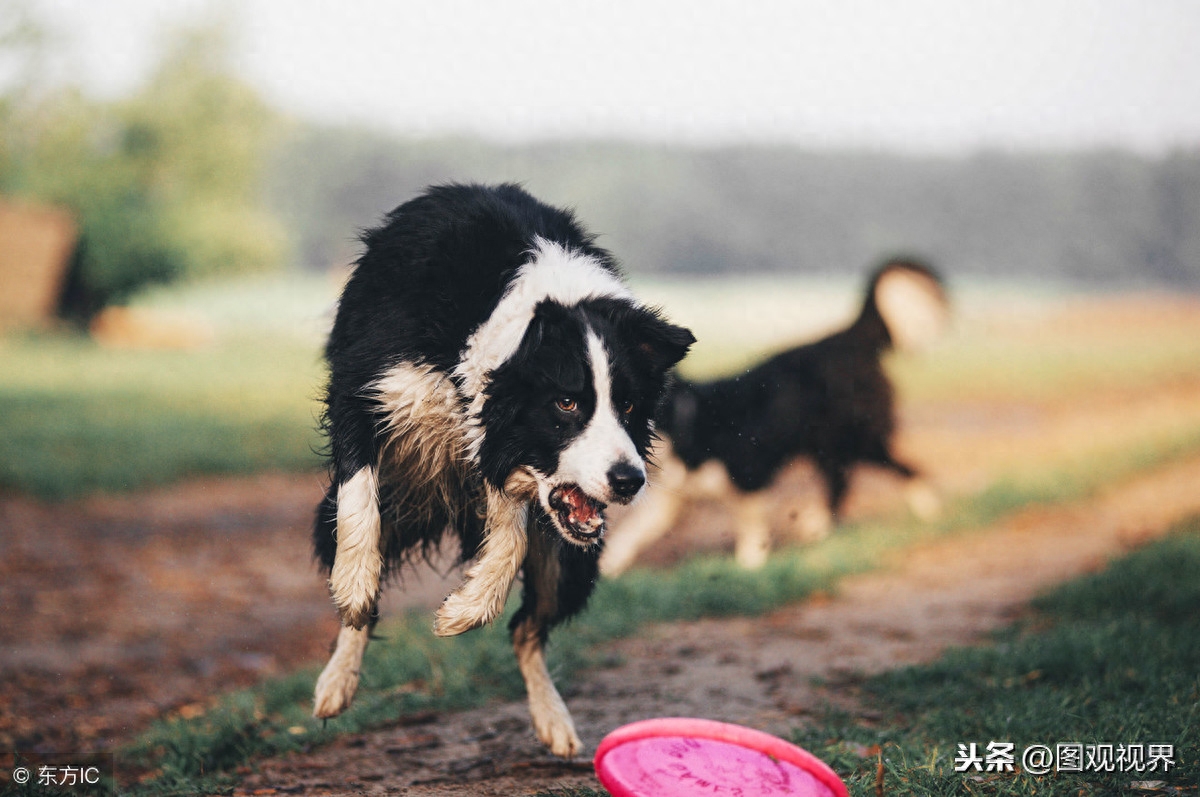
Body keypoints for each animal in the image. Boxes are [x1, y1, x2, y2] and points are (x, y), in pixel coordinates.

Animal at [309, 183, 696, 758]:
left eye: (628, 406)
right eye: (566, 403)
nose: (629, 482)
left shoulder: (501, 453)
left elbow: (509, 537)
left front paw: (462, 611)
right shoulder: (371, 384)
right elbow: (360, 498)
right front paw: (354, 583)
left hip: (569, 560)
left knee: (526, 628)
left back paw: (555, 722)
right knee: (367, 579)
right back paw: (337, 680)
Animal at [600, 258, 945, 576]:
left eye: (626, 403)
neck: (689, 421)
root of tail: (850, 337)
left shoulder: (749, 475)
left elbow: (752, 528)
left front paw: (750, 565)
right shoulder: (672, 503)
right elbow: (632, 535)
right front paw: (609, 567)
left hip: (853, 439)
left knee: (894, 469)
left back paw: (924, 506)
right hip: (829, 446)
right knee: (845, 480)